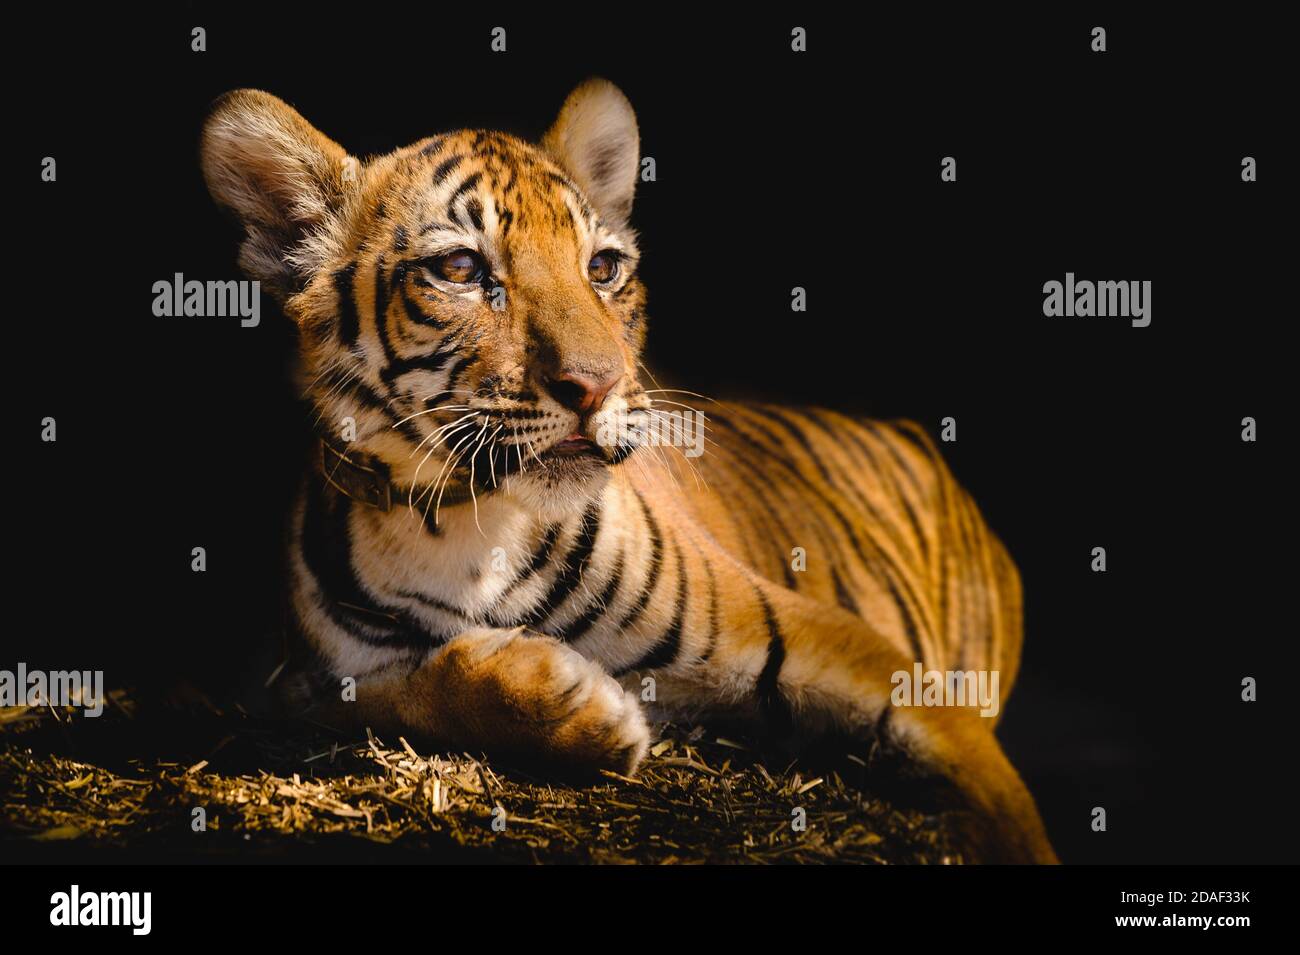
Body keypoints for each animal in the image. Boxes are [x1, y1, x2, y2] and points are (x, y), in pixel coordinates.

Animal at [201, 79, 1058, 863]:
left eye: (603, 267)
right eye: (460, 269)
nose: (595, 383)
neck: (472, 524)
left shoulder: (846, 648)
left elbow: (1000, 800)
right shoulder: (294, 690)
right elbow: (398, 698)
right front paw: (569, 701)